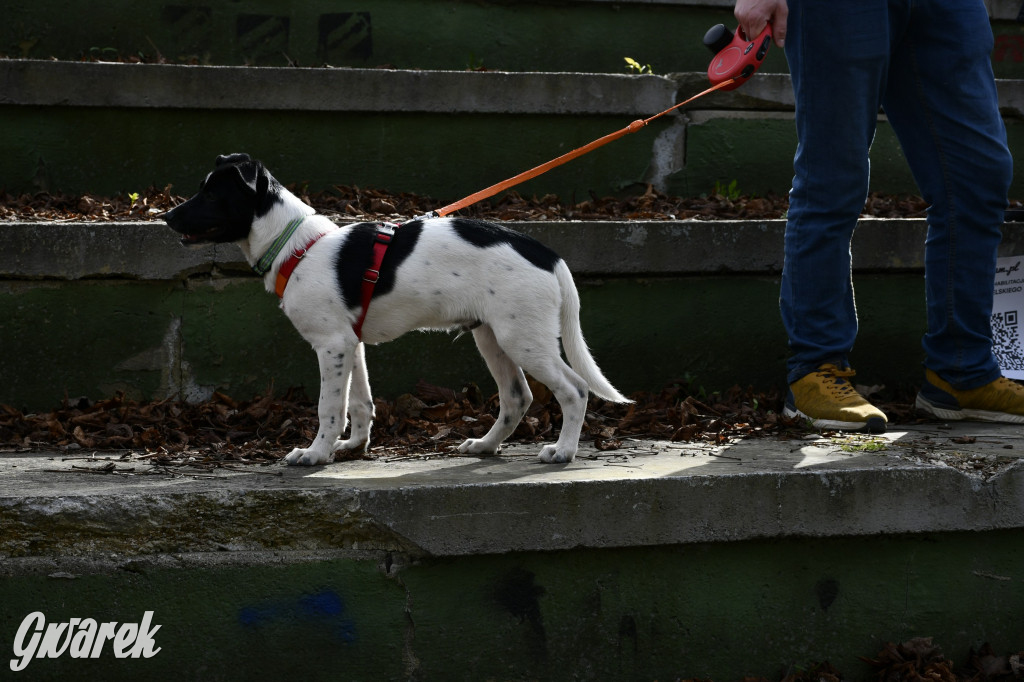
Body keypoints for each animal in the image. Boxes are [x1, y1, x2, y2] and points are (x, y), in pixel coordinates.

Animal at [163, 153, 626, 462]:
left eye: (211, 194)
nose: (166, 217)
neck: (295, 243)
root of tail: (547, 253)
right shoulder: (351, 344)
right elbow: (359, 403)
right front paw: (353, 446)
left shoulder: (331, 345)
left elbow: (329, 407)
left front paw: (316, 454)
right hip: (492, 337)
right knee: (517, 397)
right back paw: (485, 445)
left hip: (523, 339)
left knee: (574, 389)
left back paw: (562, 451)